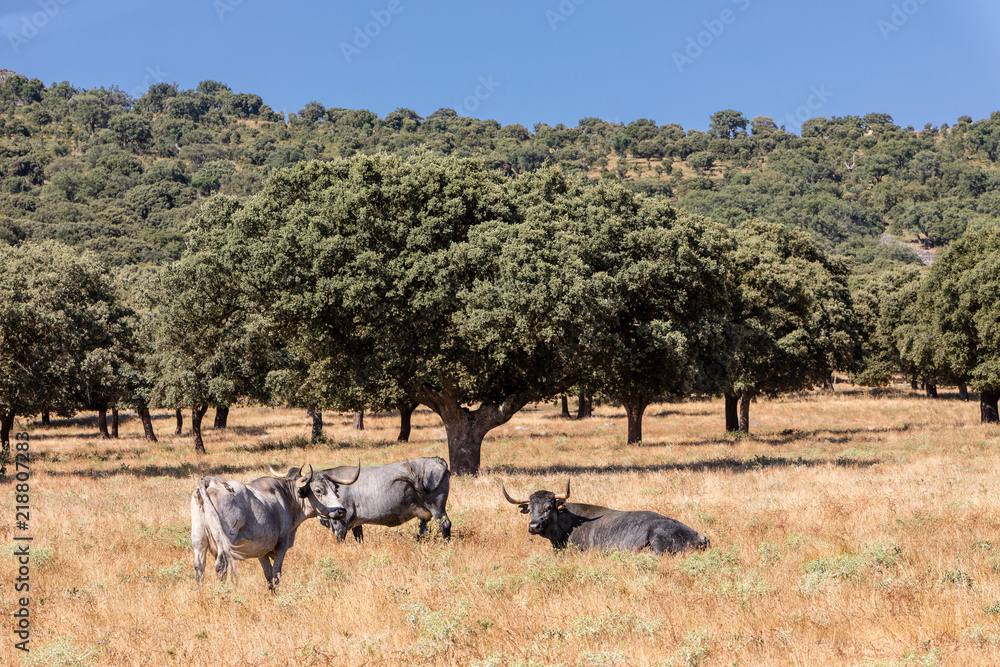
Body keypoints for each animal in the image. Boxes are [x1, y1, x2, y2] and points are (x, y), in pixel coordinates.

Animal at [190, 461, 360, 590]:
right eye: (318, 490)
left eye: (335, 488)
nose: (341, 511)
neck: (286, 497)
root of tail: (210, 481)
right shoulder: (281, 545)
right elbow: (276, 573)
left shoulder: (261, 550)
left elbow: (268, 575)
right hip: (224, 544)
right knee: (221, 566)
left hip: (199, 541)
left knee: (199, 567)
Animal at [314, 457, 451, 542]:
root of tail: (435, 459)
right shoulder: (356, 523)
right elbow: (359, 538)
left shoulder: (341, 523)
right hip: (425, 513)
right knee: (423, 531)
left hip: (437, 507)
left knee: (445, 524)